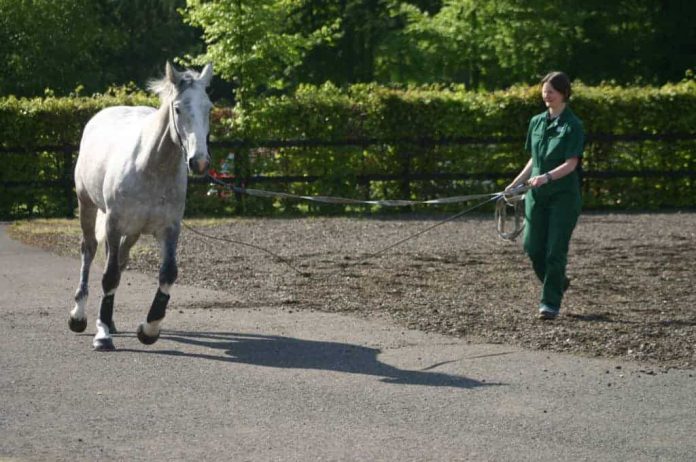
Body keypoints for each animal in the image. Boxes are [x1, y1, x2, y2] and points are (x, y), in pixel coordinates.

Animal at [70, 61, 213, 350]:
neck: (151, 166)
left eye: (209, 108)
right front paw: (102, 335)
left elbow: (168, 273)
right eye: (178, 108)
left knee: (120, 260)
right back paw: (79, 316)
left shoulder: (169, 229)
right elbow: (109, 275)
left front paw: (149, 329)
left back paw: (110, 320)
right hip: (87, 205)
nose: (200, 162)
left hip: (133, 232)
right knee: (89, 250)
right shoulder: (114, 224)